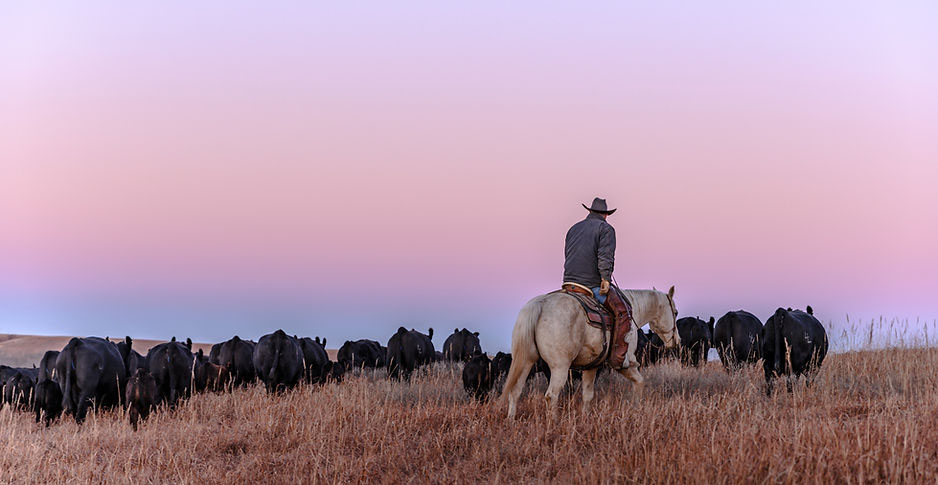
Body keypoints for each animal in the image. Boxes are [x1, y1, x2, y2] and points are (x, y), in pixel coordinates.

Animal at [500, 286, 676, 418]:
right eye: (675, 312)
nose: (676, 341)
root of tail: (540, 303)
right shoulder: (626, 364)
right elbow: (640, 382)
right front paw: (636, 409)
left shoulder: (591, 366)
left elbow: (587, 395)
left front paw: (585, 418)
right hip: (560, 367)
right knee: (551, 396)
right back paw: (553, 423)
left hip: (526, 361)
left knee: (515, 390)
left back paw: (511, 420)